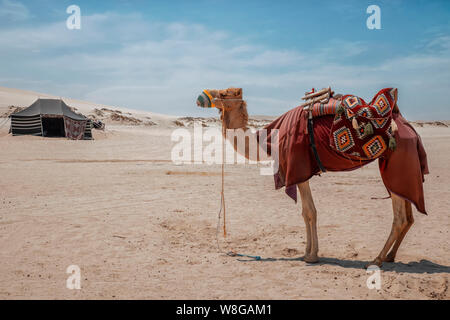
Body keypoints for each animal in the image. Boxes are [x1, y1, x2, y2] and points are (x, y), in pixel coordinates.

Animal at [199, 87, 424, 268]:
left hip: (397, 164)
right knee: (408, 216)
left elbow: (310, 212)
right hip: (399, 173)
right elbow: (306, 212)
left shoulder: (298, 170)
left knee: (399, 218)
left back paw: (376, 260)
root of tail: (411, 130)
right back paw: (390, 256)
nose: (201, 97)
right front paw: (307, 252)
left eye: (225, 93)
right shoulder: (302, 175)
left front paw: (311, 256)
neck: (269, 141)